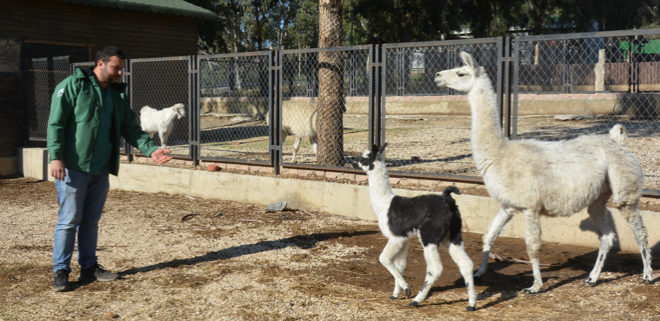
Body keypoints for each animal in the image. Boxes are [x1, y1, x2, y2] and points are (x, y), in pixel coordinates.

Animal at [436, 52, 652, 292]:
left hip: (625, 189)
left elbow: (532, 247)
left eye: (460, 73)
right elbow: (488, 236)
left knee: (640, 231)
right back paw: (592, 278)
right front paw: (480, 273)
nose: (437, 76)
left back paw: (647, 275)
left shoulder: (530, 206)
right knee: (607, 237)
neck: (500, 154)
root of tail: (617, 141)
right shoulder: (508, 205)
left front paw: (535, 286)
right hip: (598, 198)